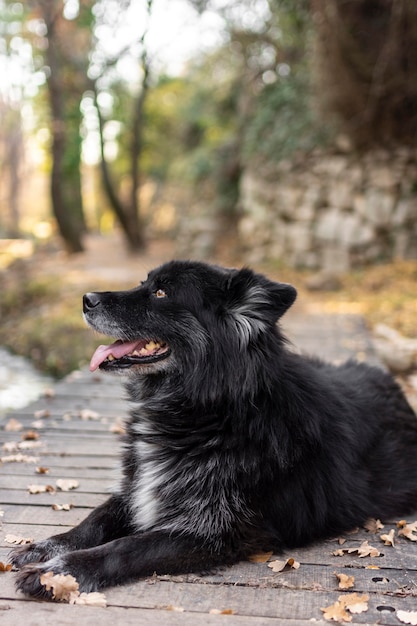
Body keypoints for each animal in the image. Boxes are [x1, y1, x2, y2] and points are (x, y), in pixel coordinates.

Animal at [9, 258, 416, 596]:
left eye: (161, 292)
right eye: (145, 283)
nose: (86, 298)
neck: (211, 410)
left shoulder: (213, 532)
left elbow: (126, 547)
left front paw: (59, 573)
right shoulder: (138, 488)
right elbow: (93, 521)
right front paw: (46, 547)